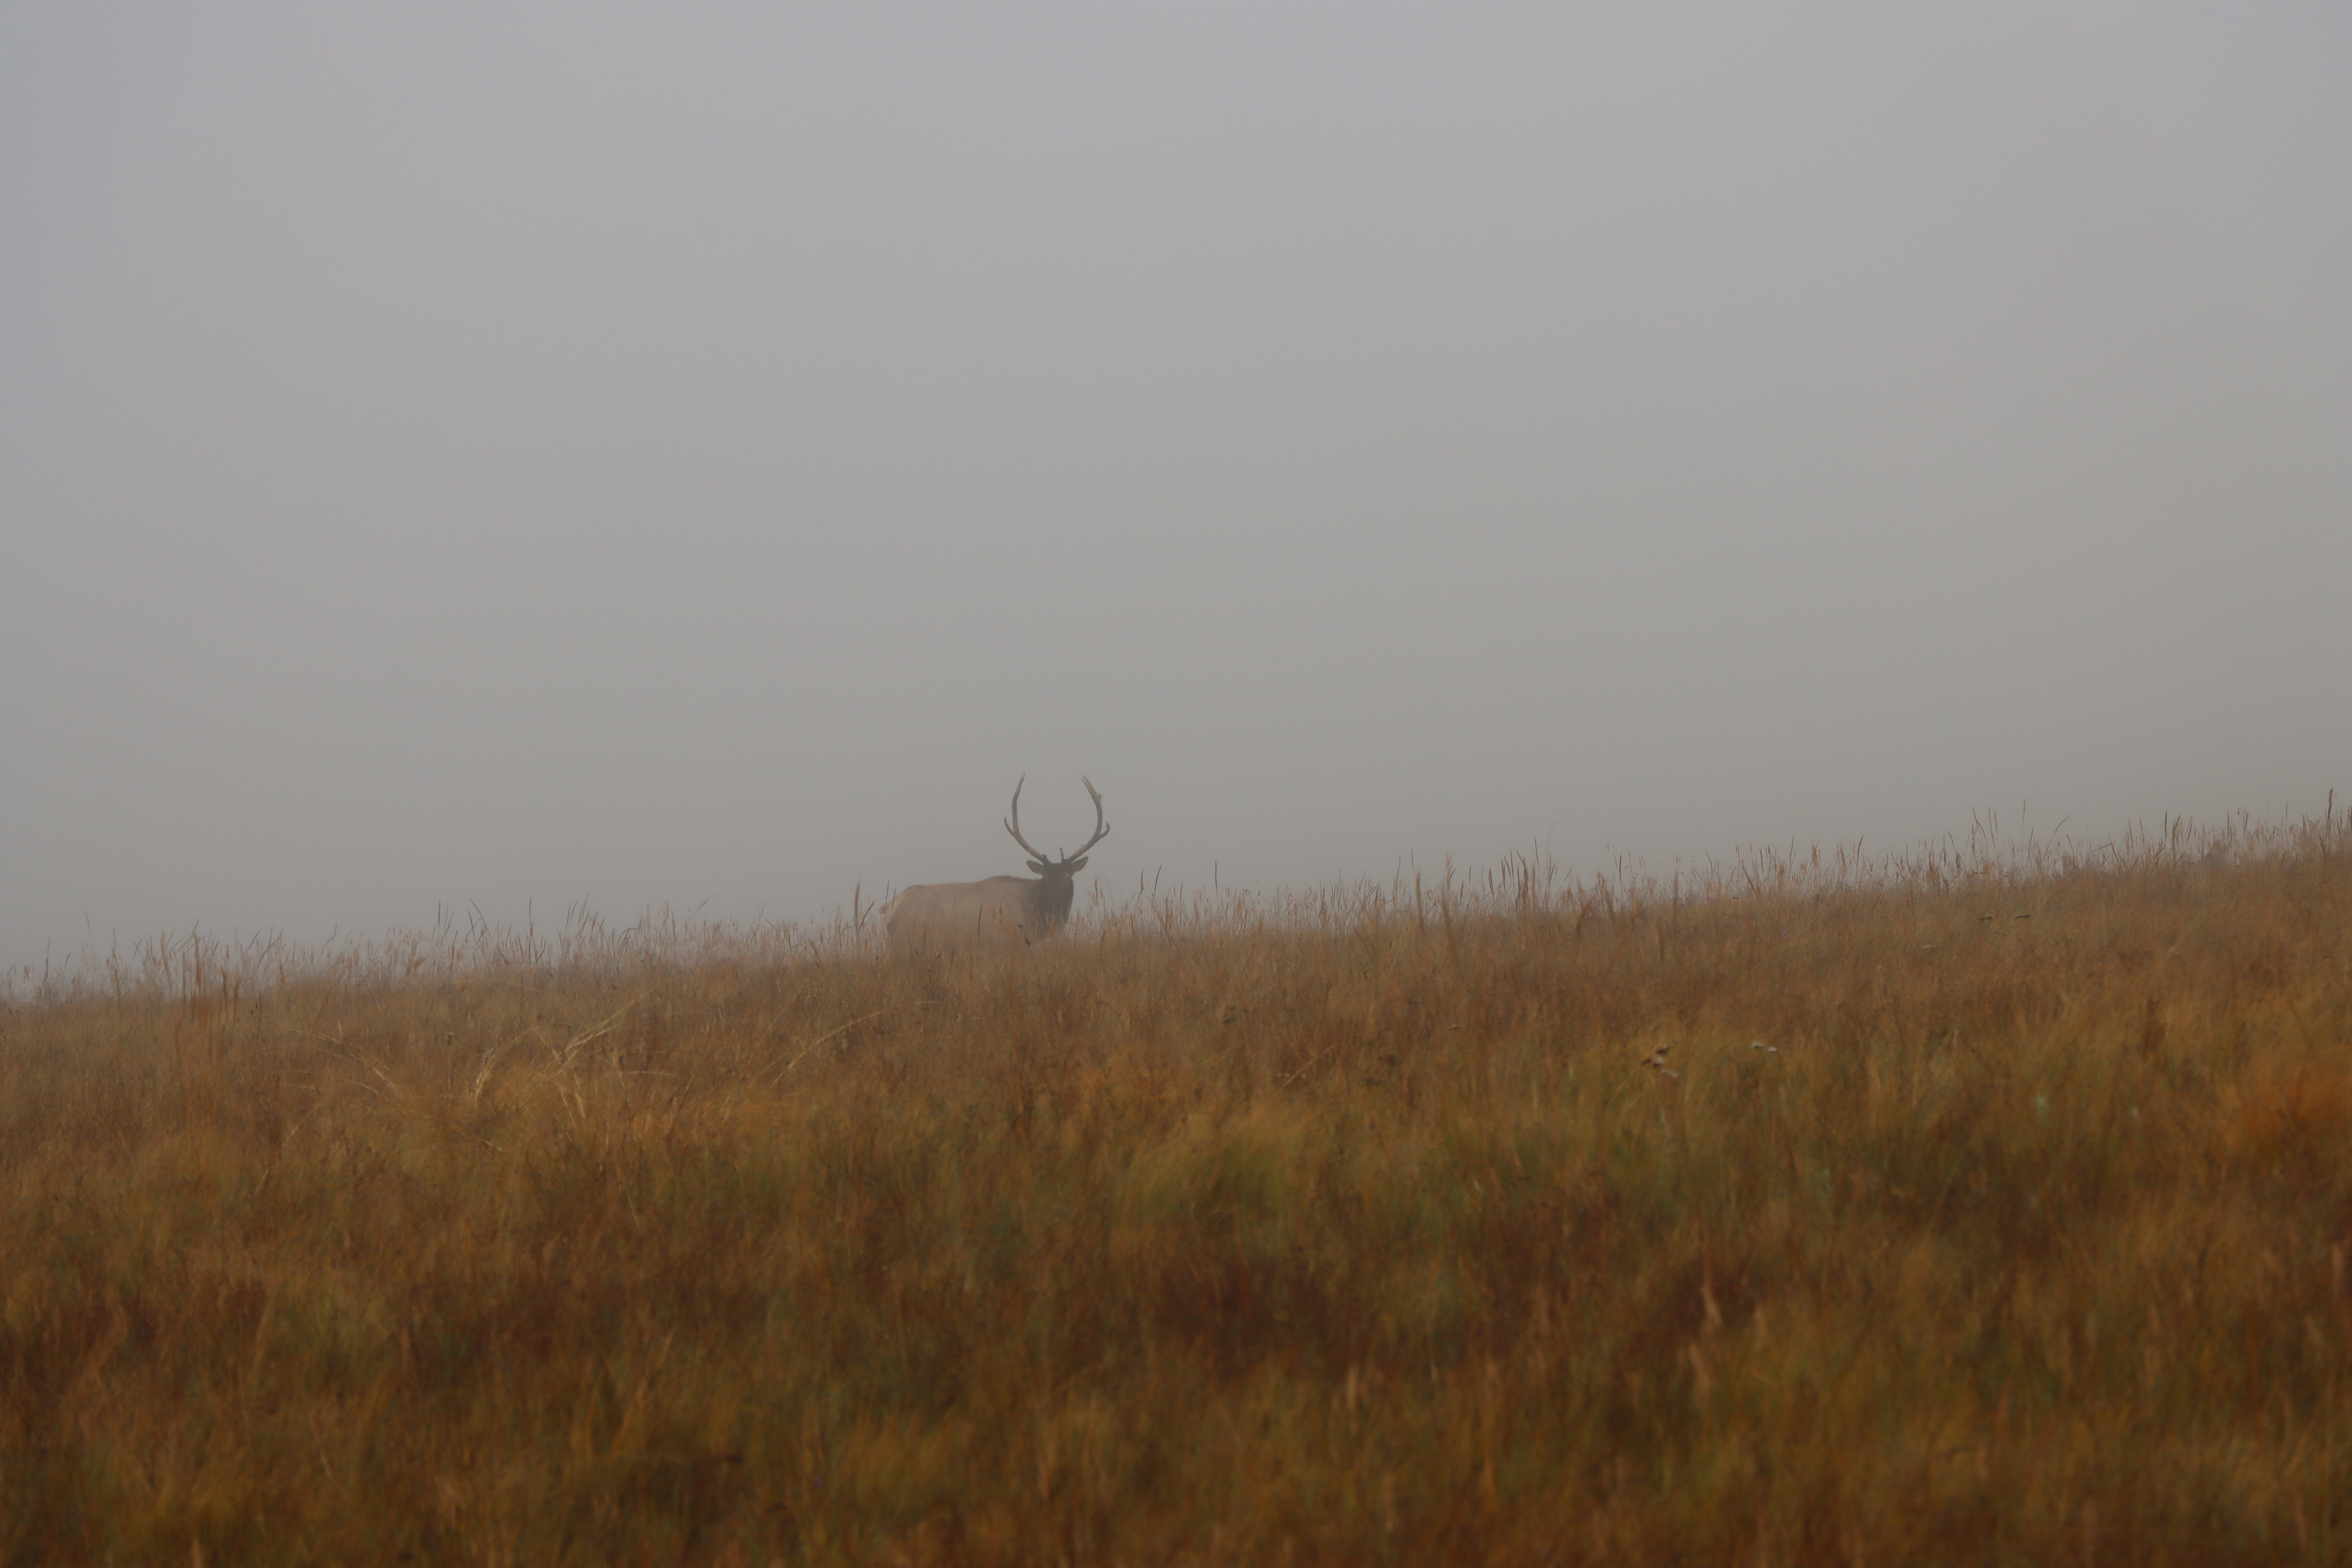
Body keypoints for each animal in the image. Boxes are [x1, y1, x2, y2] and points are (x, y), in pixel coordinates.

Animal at [883, 777, 1109, 955]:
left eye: (1068, 878)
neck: (1032, 912)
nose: (1056, 904)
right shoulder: (1004, 942)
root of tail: (888, 910)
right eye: (1046, 879)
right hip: (905, 942)